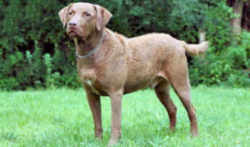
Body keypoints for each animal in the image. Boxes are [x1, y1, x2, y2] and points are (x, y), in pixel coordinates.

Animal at [58, 2, 209, 146]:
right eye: (71, 13)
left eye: (87, 14)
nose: (72, 24)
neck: (93, 51)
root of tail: (178, 42)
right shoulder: (91, 94)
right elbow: (97, 122)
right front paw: (97, 142)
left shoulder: (115, 93)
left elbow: (115, 122)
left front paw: (113, 143)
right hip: (161, 88)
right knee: (172, 108)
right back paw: (170, 134)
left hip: (180, 82)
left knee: (192, 110)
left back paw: (194, 136)